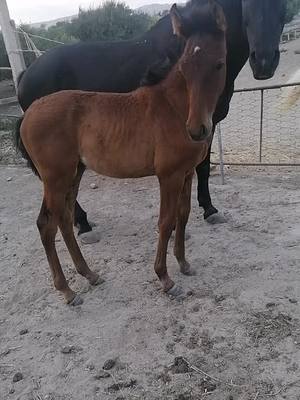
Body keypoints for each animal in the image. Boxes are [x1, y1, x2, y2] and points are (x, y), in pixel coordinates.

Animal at [15, 1, 226, 304]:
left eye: (219, 64)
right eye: (184, 68)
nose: (197, 130)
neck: (173, 108)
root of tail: (28, 113)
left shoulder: (186, 174)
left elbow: (183, 215)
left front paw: (184, 264)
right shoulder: (169, 176)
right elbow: (166, 222)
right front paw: (165, 279)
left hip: (74, 174)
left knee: (64, 219)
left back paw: (90, 275)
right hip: (55, 178)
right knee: (47, 224)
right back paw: (67, 291)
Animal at [17, 0, 288, 238]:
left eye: (283, 3)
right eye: (247, 6)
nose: (264, 61)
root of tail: (26, 73)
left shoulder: (205, 127)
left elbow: (202, 166)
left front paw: (207, 209)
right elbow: (199, 168)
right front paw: (203, 212)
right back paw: (82, 223)